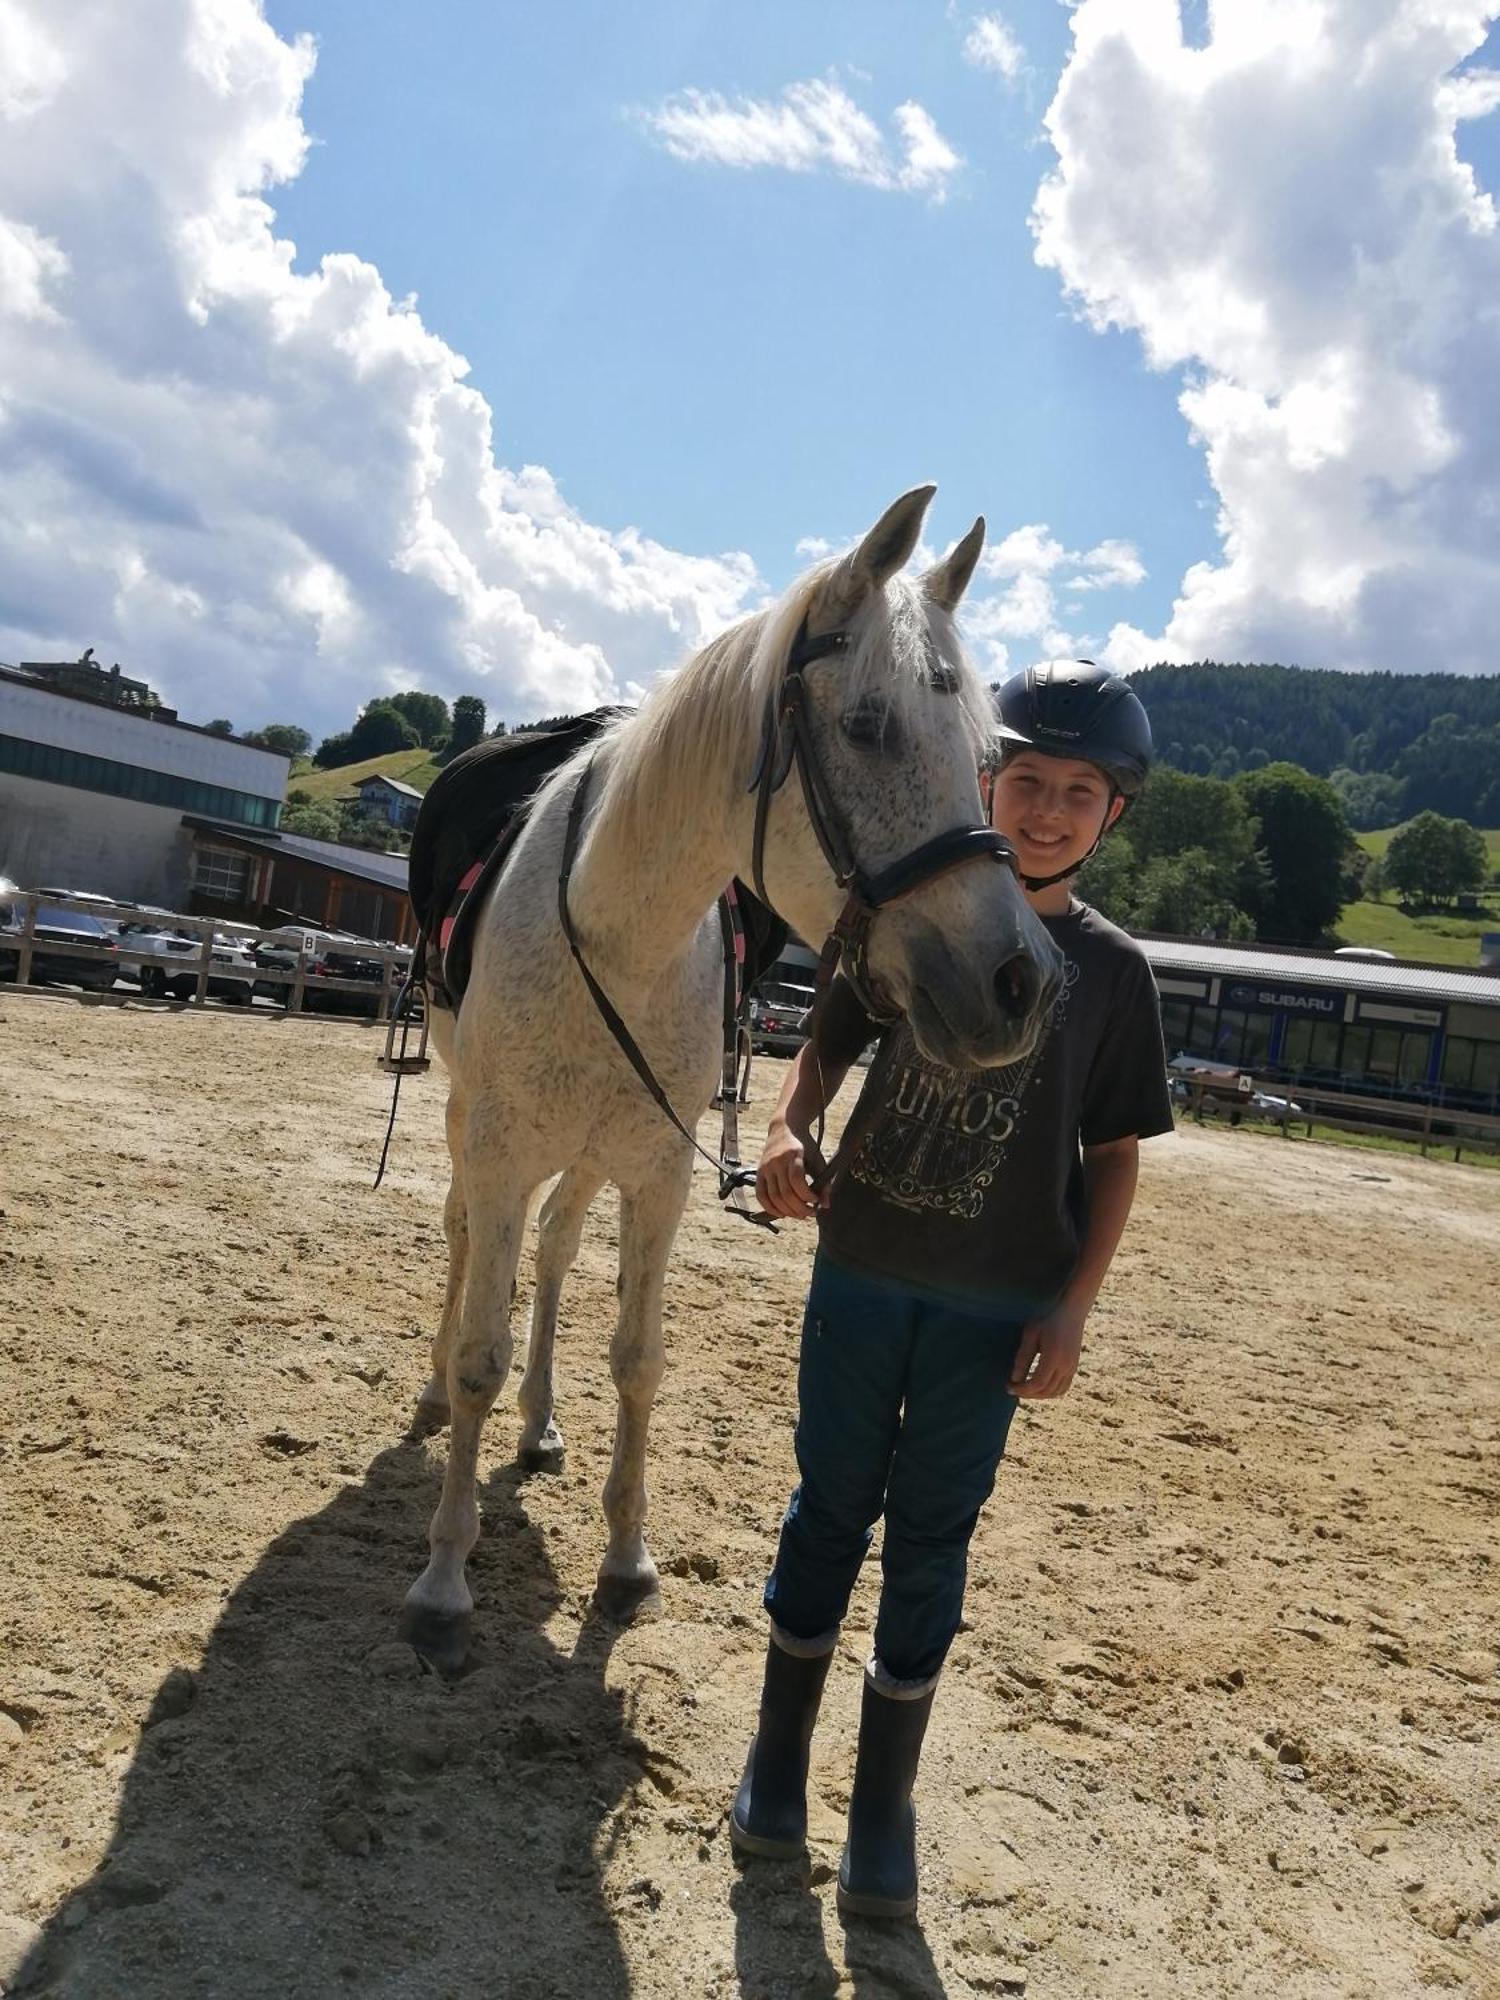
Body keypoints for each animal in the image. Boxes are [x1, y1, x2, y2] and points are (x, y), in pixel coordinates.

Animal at [406, 484, 1064, 1672]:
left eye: (983, 751)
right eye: (867, 725)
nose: (1017, 982)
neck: (618, 934)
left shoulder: (659, 1172)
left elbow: (638, 1357)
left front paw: (626, 1561)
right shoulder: (500, 1150)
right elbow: (481, 1341)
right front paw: (443, 1578)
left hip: (598, 1152)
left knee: (557, 1252)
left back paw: (540, 1421)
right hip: (468, 1115)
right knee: (467, 1237)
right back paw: (440, 1393)